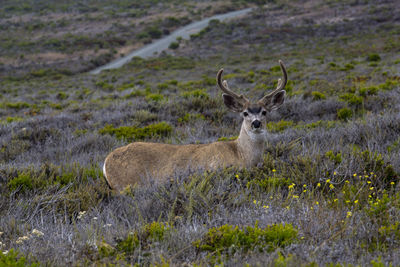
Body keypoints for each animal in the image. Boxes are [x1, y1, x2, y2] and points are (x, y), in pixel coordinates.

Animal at [101, 60, 286, 193]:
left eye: (264, 112)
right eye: (245, 113)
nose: (256, 123)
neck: (242, 155)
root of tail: (105, 162)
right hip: (125, 184)